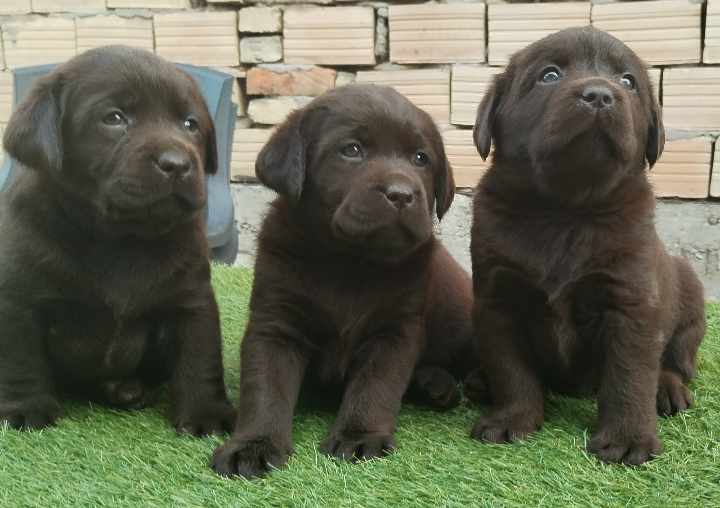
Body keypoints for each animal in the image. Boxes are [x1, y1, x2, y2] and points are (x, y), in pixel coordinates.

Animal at [0, 47, 235, 434]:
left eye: (191, 124)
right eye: (114, 118)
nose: (178, 163)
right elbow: (20, 359)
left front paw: (205, 413)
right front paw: (25, 408)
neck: (121, 237)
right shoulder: (18, 300)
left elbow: (200, 358)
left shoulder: (192, 299)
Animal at [211, 84, 476, 480]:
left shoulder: (394, 329)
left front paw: (360, 436)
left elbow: (375, 386)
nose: (401, 193)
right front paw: (253, 445)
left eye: (421, 158)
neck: (349, 261)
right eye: (351, 150)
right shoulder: (275, 323)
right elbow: (265, 387)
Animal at [470, 26, 704, 464]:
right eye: (549, 75)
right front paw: (512, 419)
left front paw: (628, 439)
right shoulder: (498, 300)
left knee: (676, 359)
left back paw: (667, 390)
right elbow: (510, 369)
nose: (599, 95)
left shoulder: (630, 301)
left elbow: (630, 377)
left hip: (691, 300)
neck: (566, 210)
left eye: (628, 82)